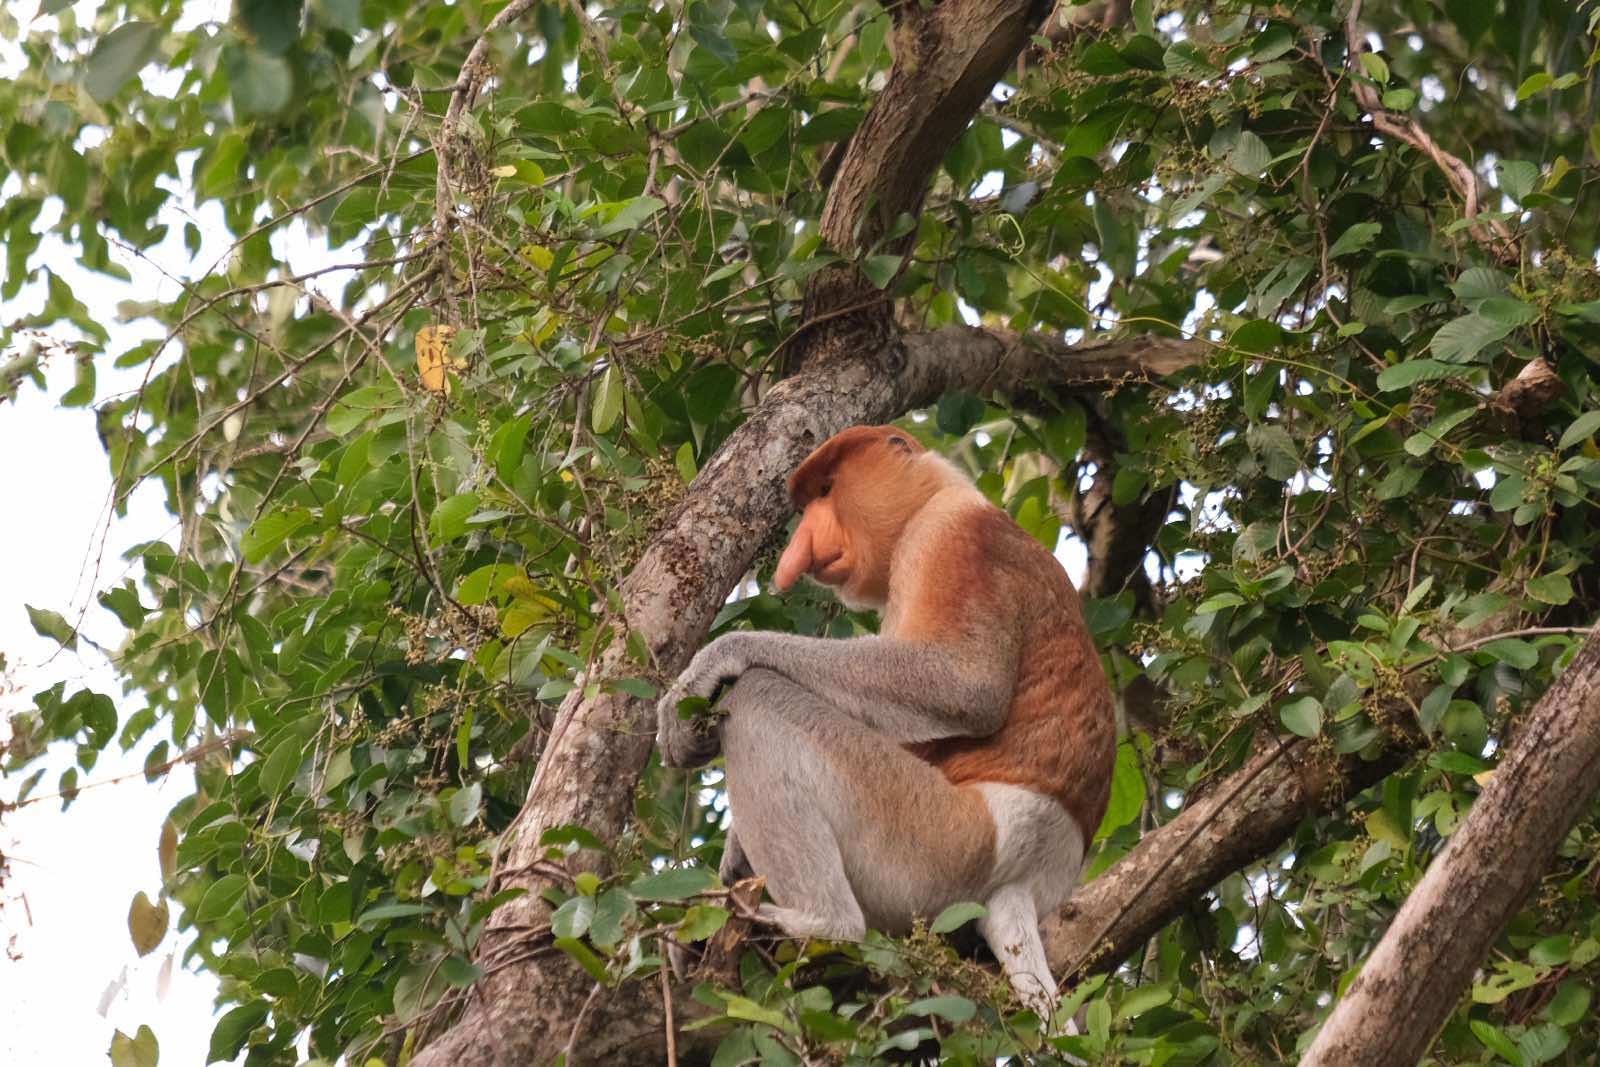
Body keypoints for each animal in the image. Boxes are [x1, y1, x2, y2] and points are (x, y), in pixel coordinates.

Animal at [656, 424, 1115, 1018]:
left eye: (827, 490)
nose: (799, 548)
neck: (937, 495)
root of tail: (1034, 882)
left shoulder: (949, 538)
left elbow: (962, 686)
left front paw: (712, 664)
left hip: (938, 844)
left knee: (760, 700)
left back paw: (820, 924)